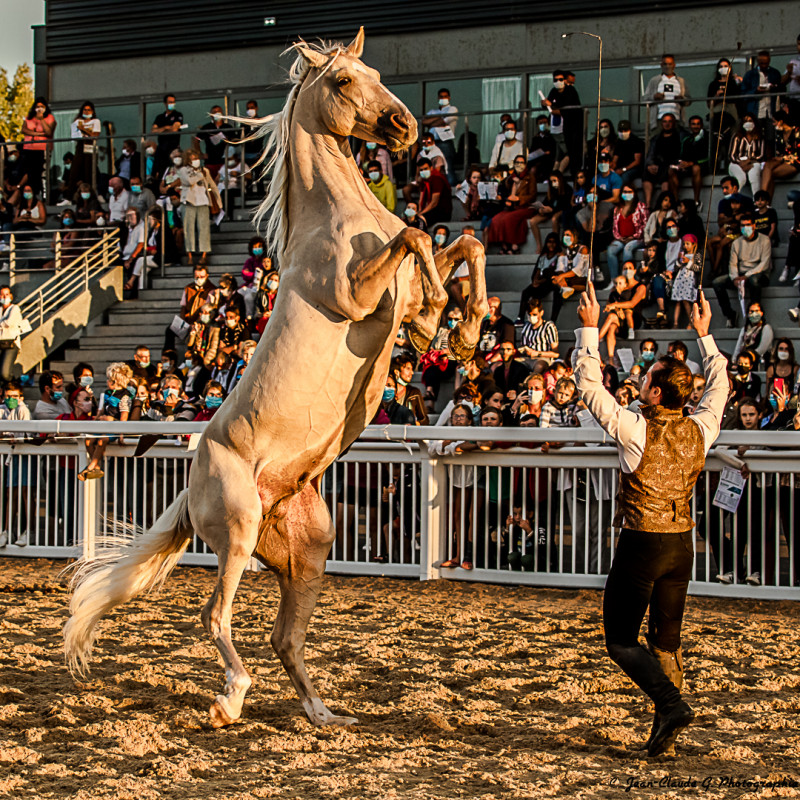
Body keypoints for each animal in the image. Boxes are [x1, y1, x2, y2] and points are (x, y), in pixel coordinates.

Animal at [64, 31, 488, 728]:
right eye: (343, 81)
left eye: (374, 70)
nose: (405, 127)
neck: (335, 218)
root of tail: (192, 484)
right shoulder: (353, 298)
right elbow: (417, 236)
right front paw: (438, 324)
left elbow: (465, 243)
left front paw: (464, 330)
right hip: (236, 534)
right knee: (215, 618)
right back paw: (229, 700)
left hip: (309, 551)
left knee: (283, 637)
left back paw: (324, 715)